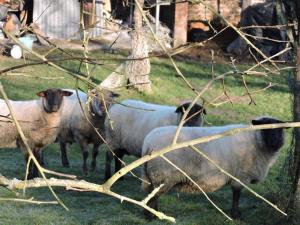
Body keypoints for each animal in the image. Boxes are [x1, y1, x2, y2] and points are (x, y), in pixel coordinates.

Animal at [141, 117, 286, 219]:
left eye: (280, 130)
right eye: (266, 129)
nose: (275, 142)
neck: (255, 140)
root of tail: (148, 143)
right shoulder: (241, 176)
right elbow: (236, 195)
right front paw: (236, 215)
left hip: (152, 176)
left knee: (150, 194)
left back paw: (153, 214)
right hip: (162, 175)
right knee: (153, 196)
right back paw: (152, 217)